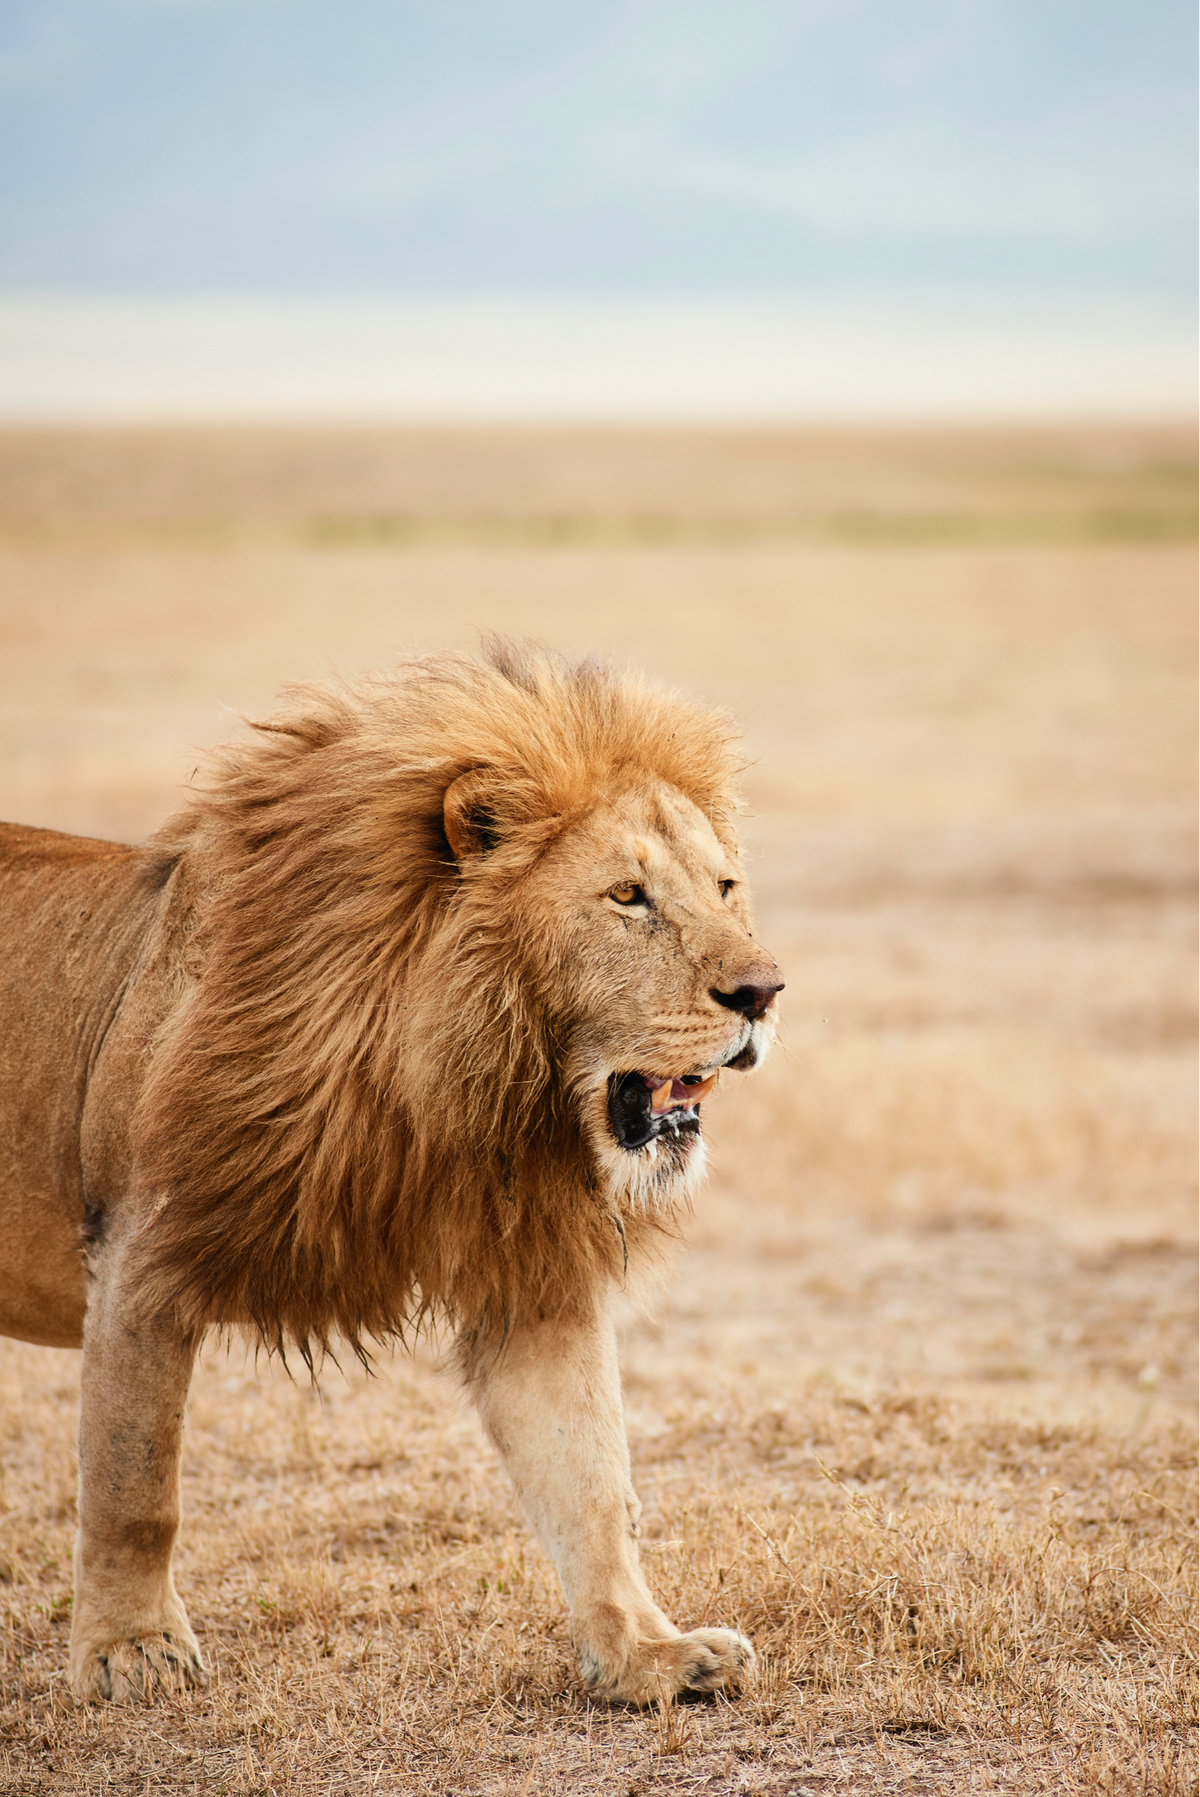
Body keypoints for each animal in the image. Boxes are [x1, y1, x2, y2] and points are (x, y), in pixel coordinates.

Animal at [0, 638, 782, 1709]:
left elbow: (591, 1479)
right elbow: (133, 1484)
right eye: (628, 896)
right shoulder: (136, 1252)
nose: (764, 991)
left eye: (727, 887)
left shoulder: (529, 1276)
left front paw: (646, 1655)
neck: (448, 1082)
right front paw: (133, 1651)